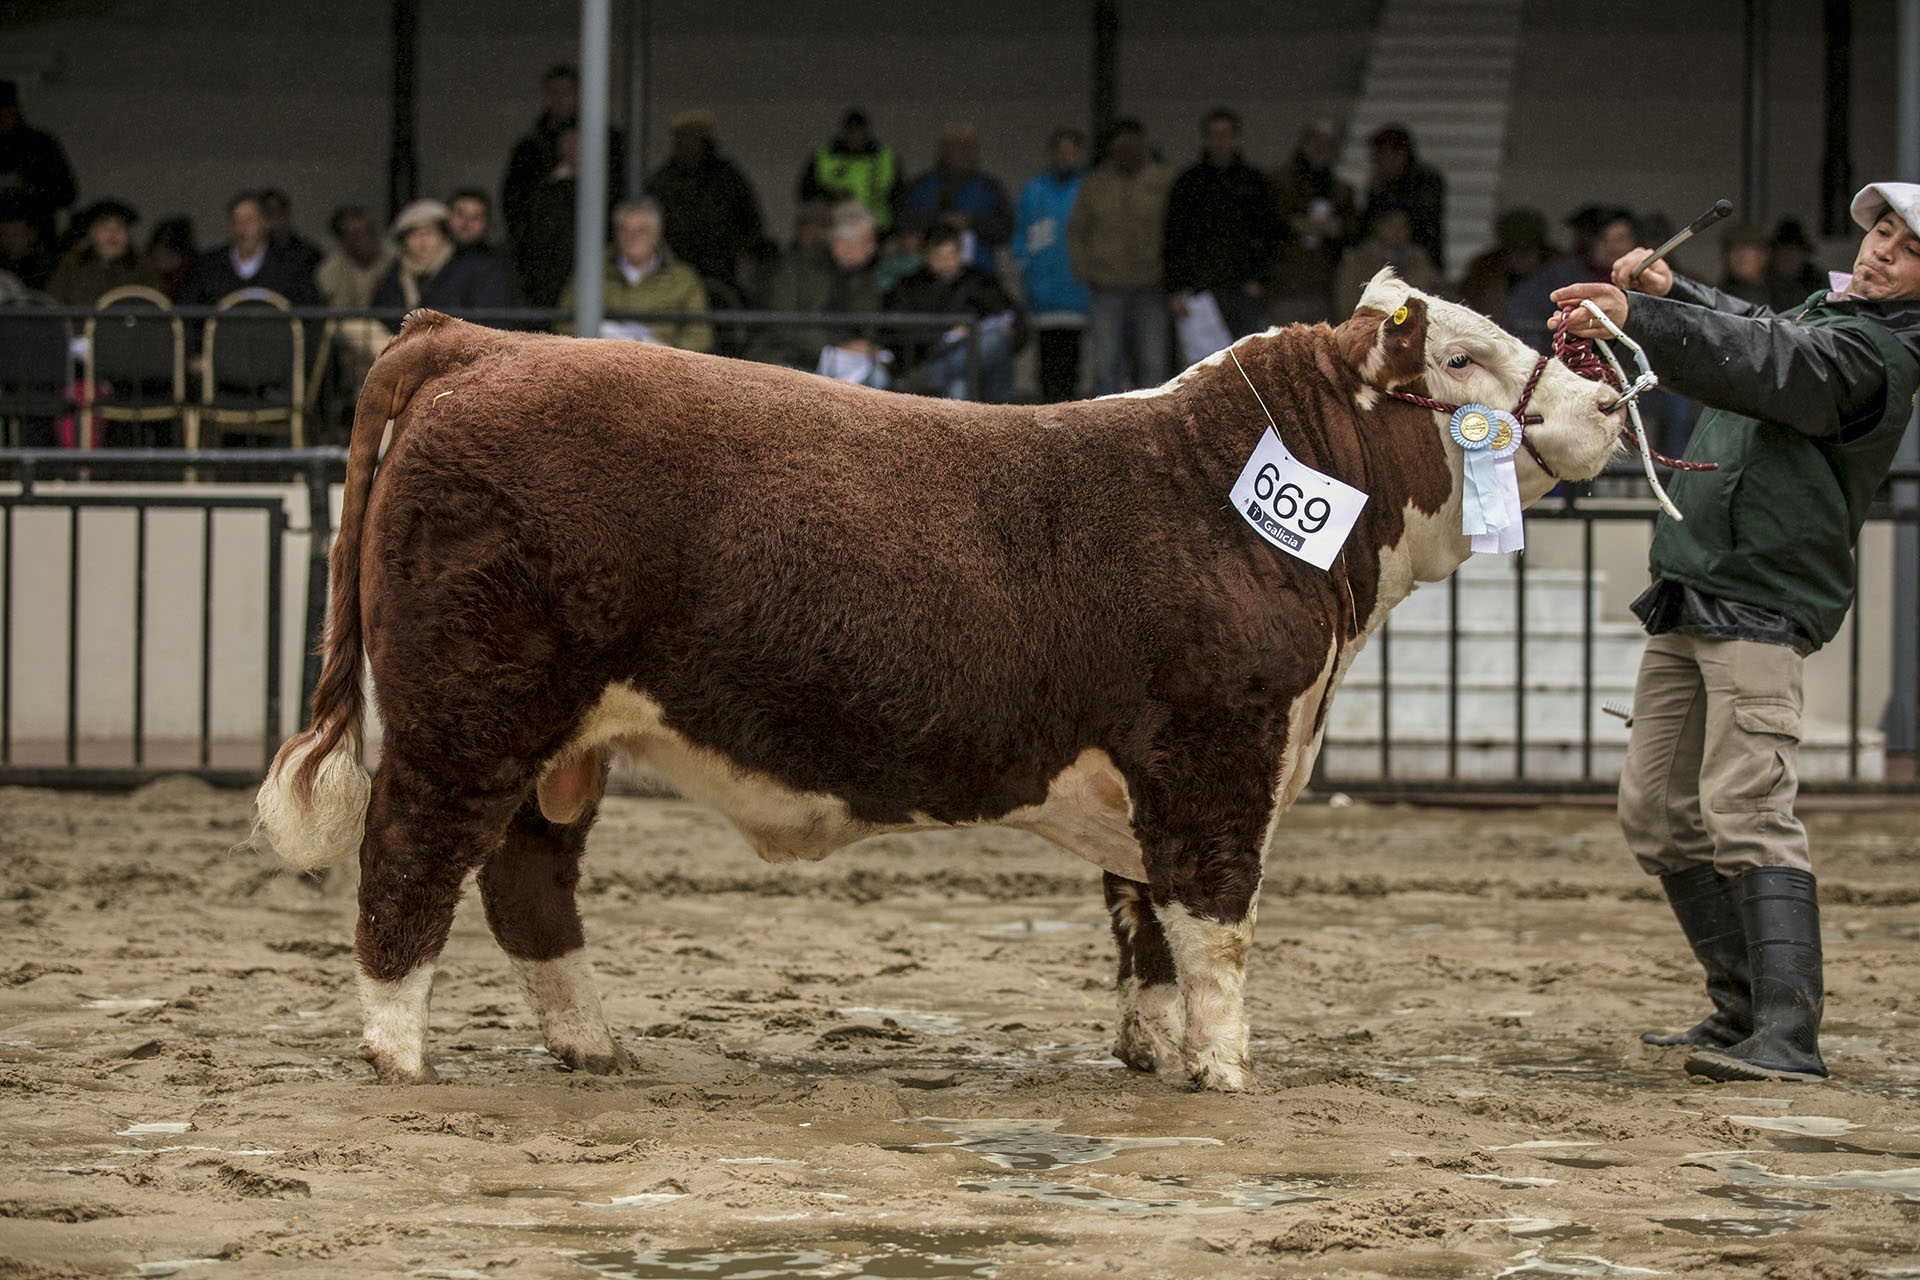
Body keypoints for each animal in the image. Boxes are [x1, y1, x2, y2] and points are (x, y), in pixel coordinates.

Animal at [255, 270, 1620, 1090]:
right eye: (1462, 359)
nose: (1609, 397)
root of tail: (471, 339)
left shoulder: (1155, 775)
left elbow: (1144, 924)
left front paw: (1148, 1052)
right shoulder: (1220, 754)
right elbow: (1217, 926)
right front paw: (1227, 1071)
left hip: (559, 741)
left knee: (529, 883)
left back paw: (597, 1047)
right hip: (470, 711)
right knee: (411, 859)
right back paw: (399, 1054)